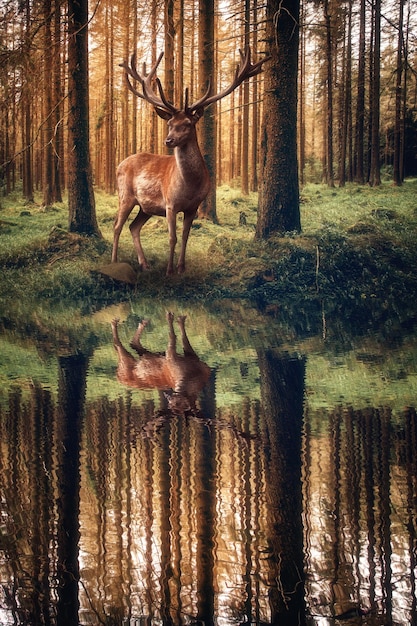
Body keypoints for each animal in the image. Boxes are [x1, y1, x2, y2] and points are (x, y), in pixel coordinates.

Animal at [111, 46, 266, 276]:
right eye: (169, 124)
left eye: (187, 123)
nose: (168, 140)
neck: (190, 185)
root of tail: (120, 164)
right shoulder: (170, 204)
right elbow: (172, 237)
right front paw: (169, 270)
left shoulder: (193, 207)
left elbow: (185, 237)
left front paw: (181, 267)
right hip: (125, 195)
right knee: (117, 226)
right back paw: (113, 262)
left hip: (146, 207)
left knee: (133, 226)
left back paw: (144, 264)